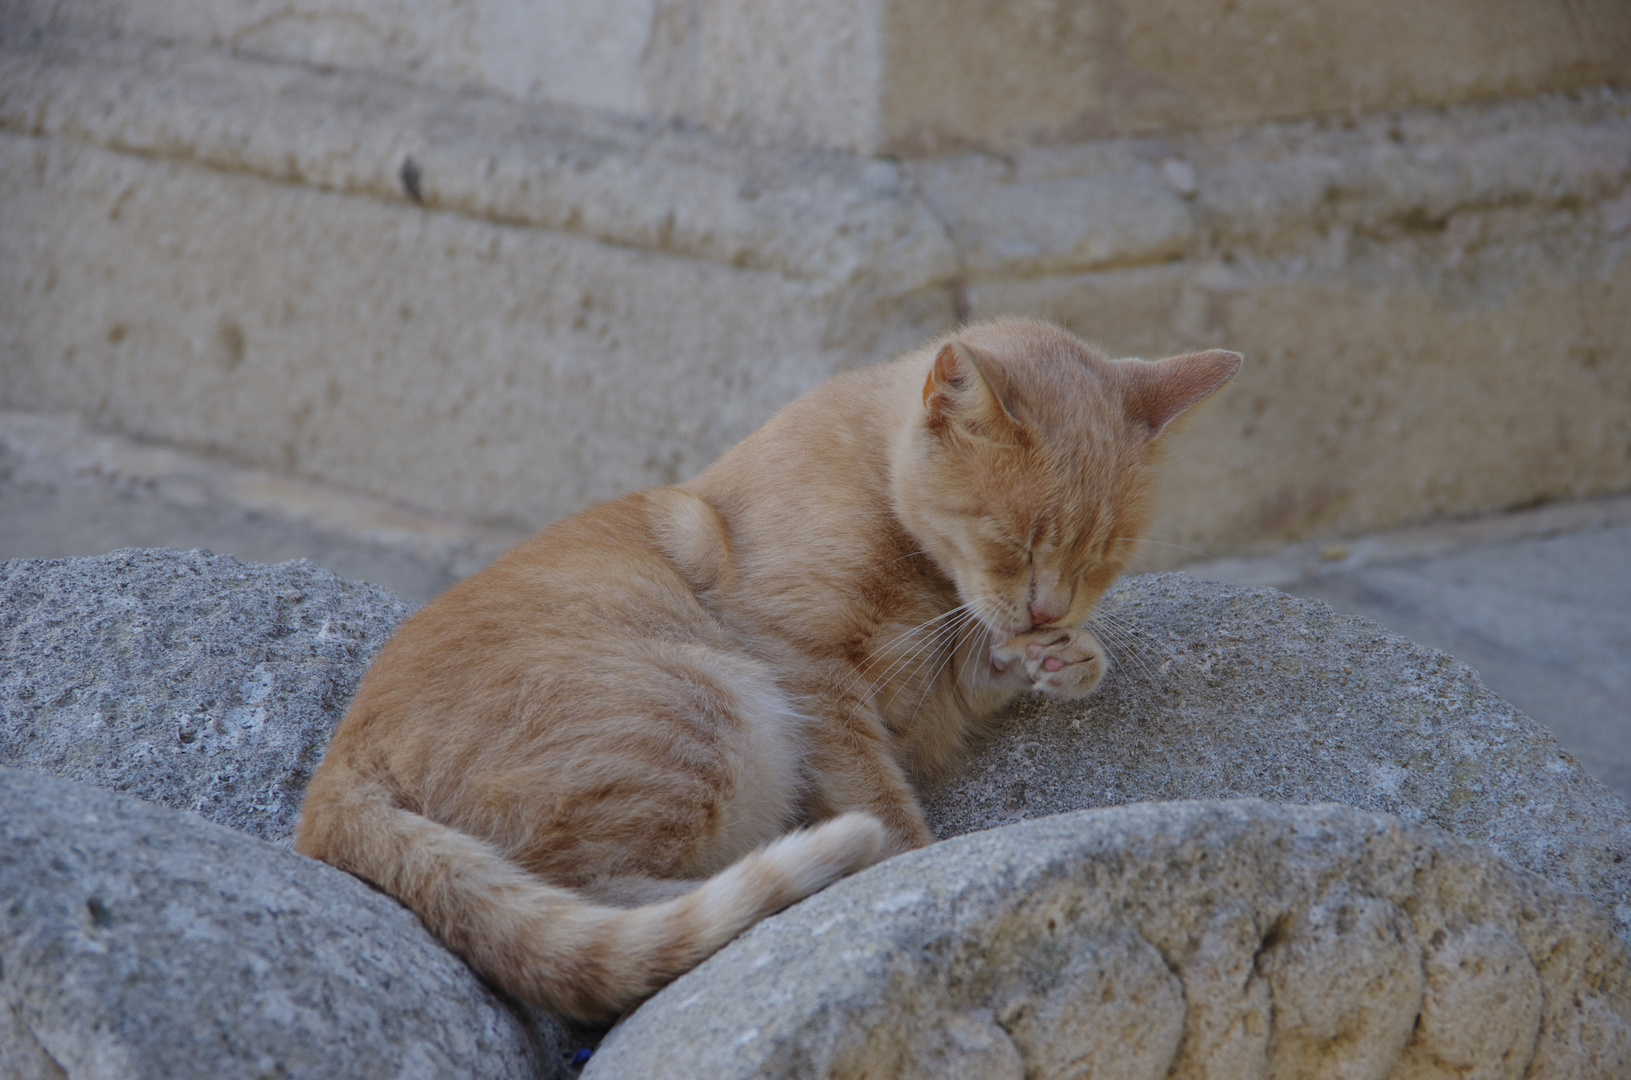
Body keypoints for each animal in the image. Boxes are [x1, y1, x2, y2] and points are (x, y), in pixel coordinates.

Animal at [293, 319, 1233, 1024]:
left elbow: (979, 669)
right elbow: (880, 799)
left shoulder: (923, 695)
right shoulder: (808, 674)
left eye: (1102, 560)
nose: (1047, 611)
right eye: (1012, 543)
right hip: (709, 704)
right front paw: (914, 866)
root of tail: (332, 775)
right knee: (598, 896)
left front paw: (1065, 656)